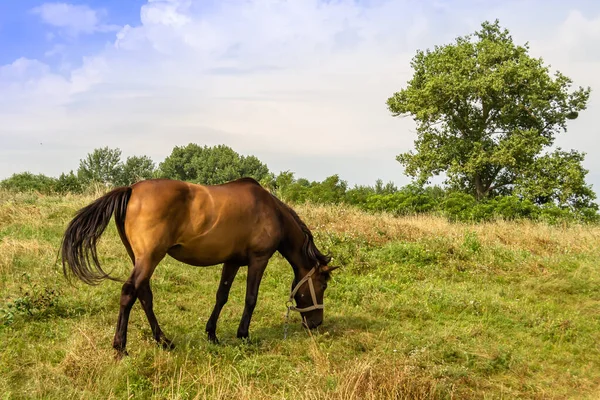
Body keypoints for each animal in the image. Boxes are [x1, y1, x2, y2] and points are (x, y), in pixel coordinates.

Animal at [62, 177, 342, 358]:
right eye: (323, 285)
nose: (315, 323)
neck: (272, 212)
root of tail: (131, 188)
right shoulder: (258, 259)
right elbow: (251, 298)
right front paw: (243, 335)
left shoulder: (232, 261)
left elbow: (222, 296)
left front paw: (212, 334)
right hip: (149, 258)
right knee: (129, 292)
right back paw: (121, 348)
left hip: (140, 258)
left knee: (144, 295)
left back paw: (164, 341)